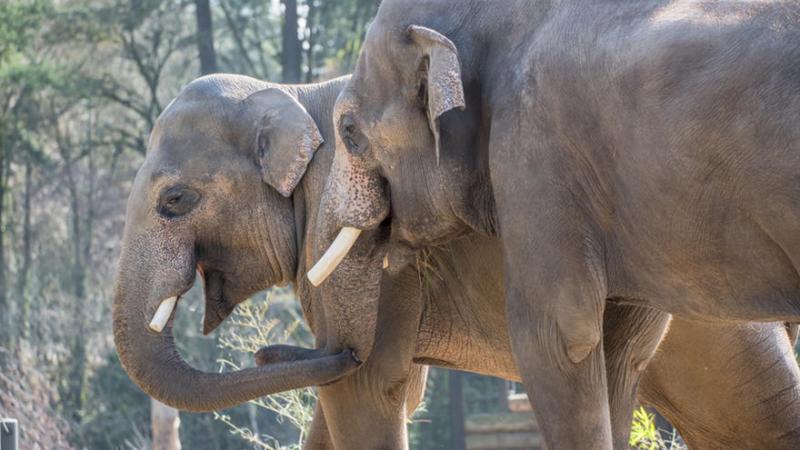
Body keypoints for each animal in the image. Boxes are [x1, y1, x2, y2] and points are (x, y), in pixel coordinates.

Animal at [114, 72, 800, 448]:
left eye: (175, 201)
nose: (267, 353)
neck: (293, 94)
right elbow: (360, 400)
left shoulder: (350, 241)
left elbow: (369, 389)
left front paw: (356, 367)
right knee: (753, 415)